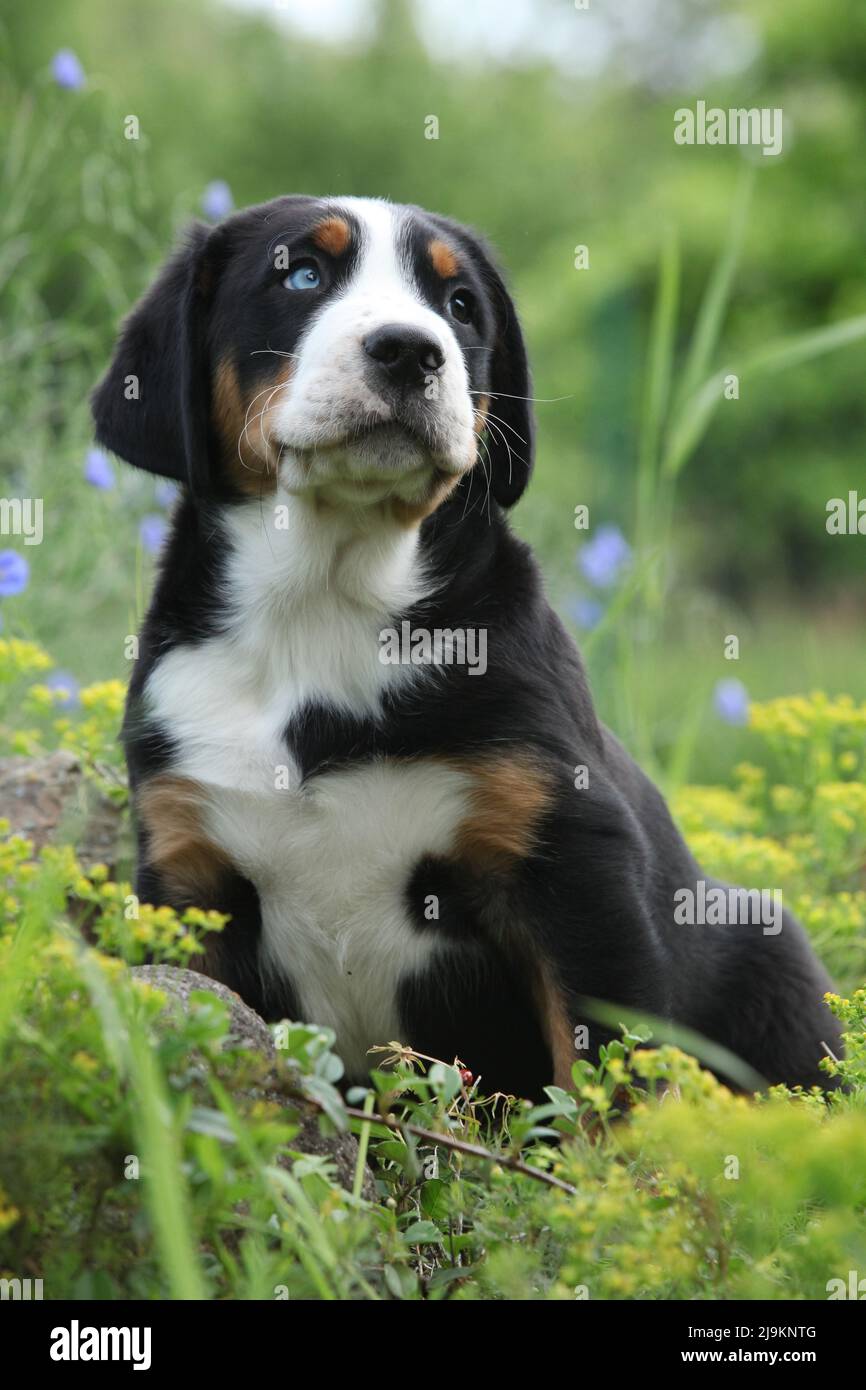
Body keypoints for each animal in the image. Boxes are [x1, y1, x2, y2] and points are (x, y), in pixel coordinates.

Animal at [91, 198, 845, 1095]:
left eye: (458, 306)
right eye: (301, 274)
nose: (410, 349)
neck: (324, 603)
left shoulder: (574, 862)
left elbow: (602, 1074)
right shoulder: (188, 868)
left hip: (770, 949)